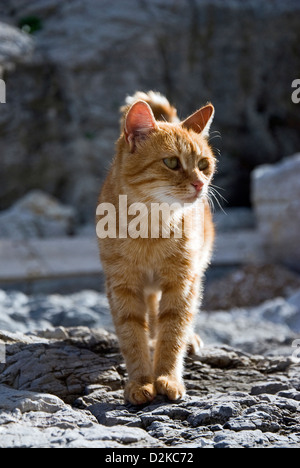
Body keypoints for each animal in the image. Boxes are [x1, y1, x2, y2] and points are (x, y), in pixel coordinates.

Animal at [97, 91, 217, 406]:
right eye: (172, 162)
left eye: (203, 164)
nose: (199, 184)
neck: (150, 228)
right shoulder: (122, 286)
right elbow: (132, 335)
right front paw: (140, 381)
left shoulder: (182, 283)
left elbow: (173, 332)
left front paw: (167, 378)